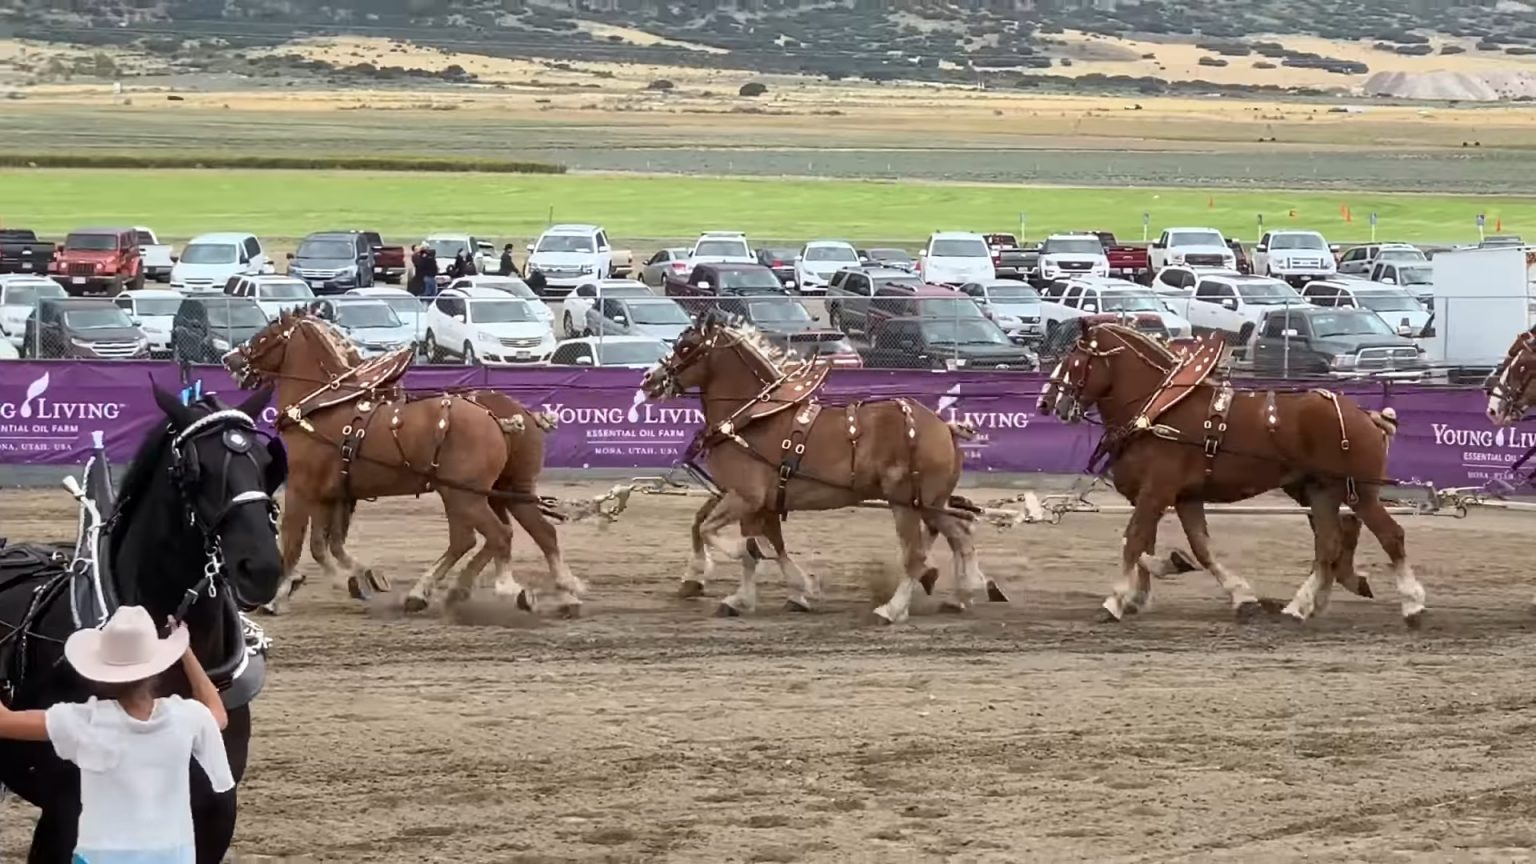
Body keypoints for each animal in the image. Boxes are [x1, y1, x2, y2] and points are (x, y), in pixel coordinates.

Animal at [225, 309, 580, 611]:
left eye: (265, 334)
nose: (229, 360)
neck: (322, 405)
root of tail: (500, 418)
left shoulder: (301, 488)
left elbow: (293, 543)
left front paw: (276, 596)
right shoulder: (331, 493)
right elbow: (322, 544)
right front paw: (357, 579)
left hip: (464, 495)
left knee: (494, 536)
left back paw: (499, 588)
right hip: (503, 490)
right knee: (530, 533)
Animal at [635, 312, 995, 621]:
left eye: (685, 347)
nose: (648, 379)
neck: (752, 417)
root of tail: (943, 426)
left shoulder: (745, 497)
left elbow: (721, 535)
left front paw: (748, 567)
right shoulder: (758, 502)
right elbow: (759, 542)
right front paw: (770, 594)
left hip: (907, 502)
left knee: (917, 555)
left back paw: (892, 609)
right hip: (932, 503)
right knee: (960, 534)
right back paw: (961, 594)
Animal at [1038, 322, 1419, 624]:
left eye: (1075, 361)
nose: (1047, 402)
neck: (1158, 409)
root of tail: (1368, 415)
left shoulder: (1157, 491)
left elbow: (1133, 542)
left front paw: (1116, 600)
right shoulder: (1183, 497)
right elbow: (1194, 549)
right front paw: (1234, 595)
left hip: (1360, 492)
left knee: (1391, 536)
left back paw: (1413, 605)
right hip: (1321, 491)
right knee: (1329, 544)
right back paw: (1299, 607)